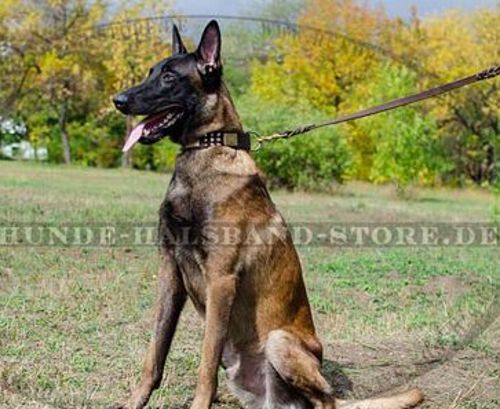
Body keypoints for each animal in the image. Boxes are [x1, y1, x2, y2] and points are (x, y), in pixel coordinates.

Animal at [111, 20, 424, 408]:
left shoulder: (221, 280)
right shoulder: (170, 273)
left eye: (169, 77)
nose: (118, 100)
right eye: (151, 72)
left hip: (278, 341)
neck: (207, 150)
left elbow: (204, 365)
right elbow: (154, 354)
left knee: (325, 402)